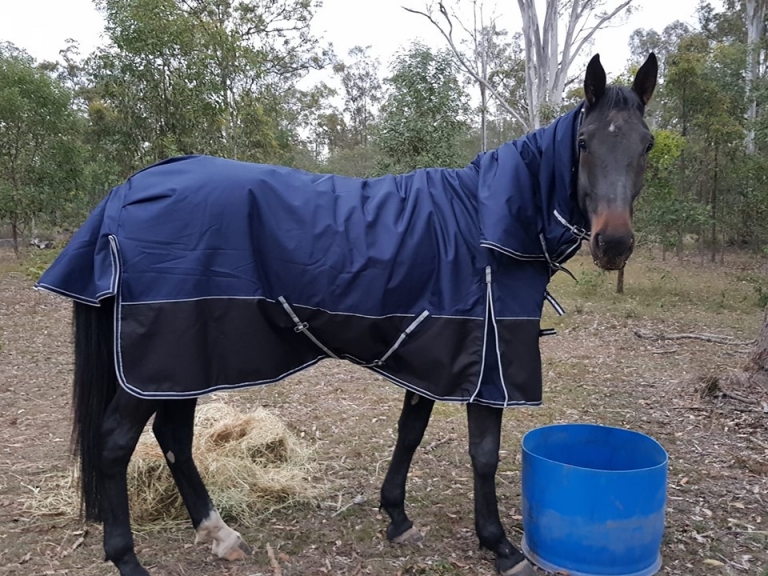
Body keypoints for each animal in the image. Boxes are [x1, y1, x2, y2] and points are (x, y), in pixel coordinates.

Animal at [34, 52, 657, 576]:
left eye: (647, 145)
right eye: (584, 142)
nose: (615, 244)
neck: (486, 225)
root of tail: (126, 192)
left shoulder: (436, 353)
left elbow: (410, 432)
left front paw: (398, 517)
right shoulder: (490, 366)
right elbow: (483, 455)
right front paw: (500, 545)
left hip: (181, 362)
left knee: (173, 438)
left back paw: (220, 534)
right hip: (156, 361)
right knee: (115, 444)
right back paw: (128, 559)